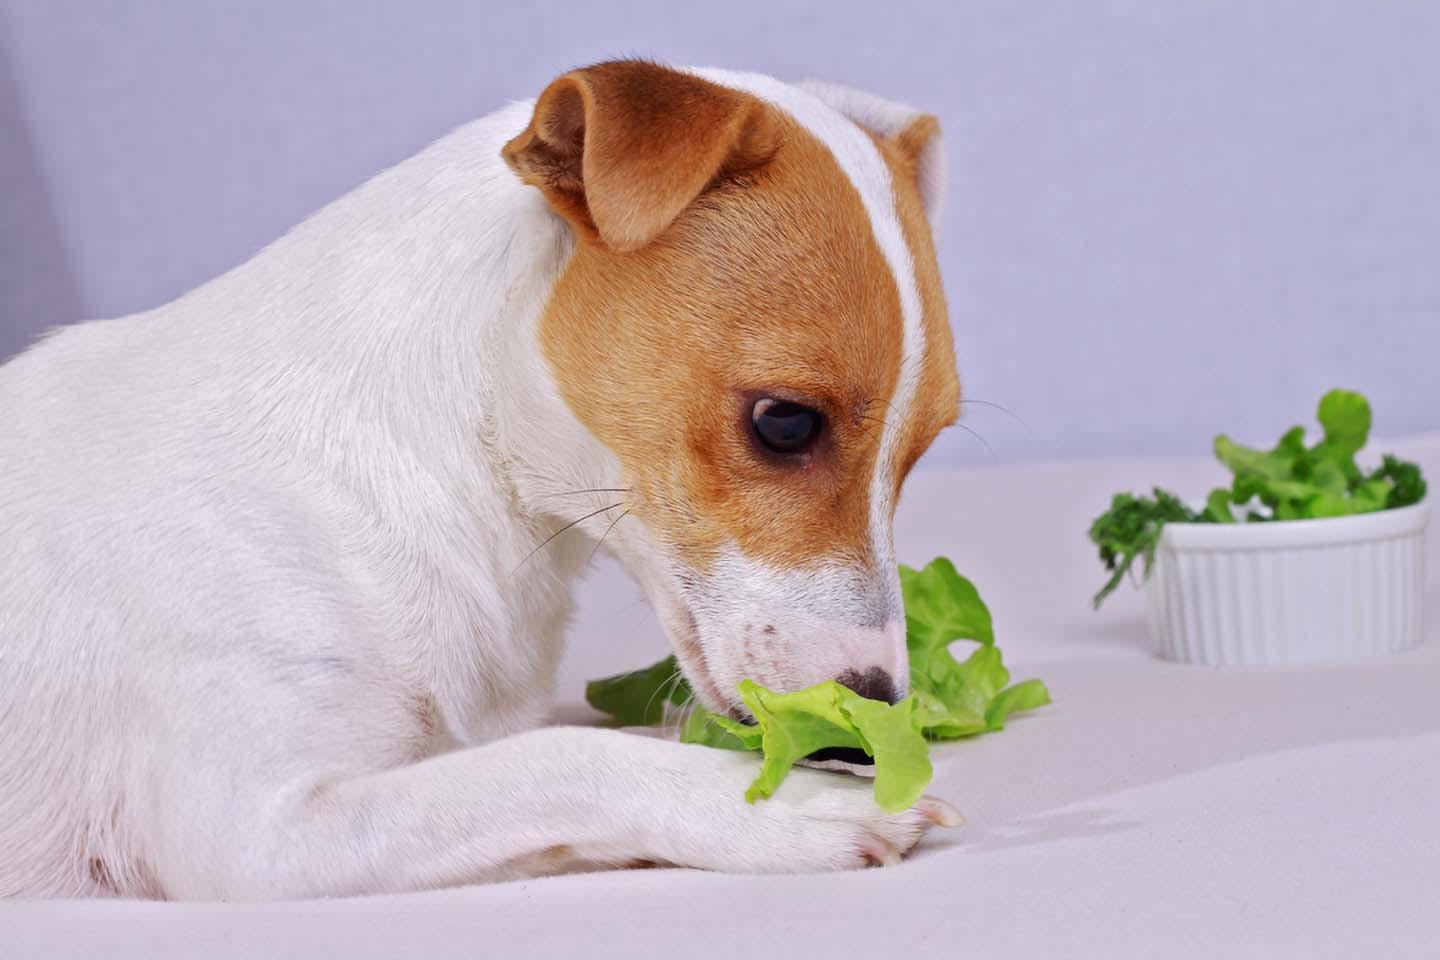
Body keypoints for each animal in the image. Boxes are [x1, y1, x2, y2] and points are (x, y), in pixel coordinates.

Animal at [2, 61, 967, 903]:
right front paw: (790, 808)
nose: (874, 722)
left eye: (922, 448)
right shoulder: (254, 835)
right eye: (785, 423)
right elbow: (562, 759)